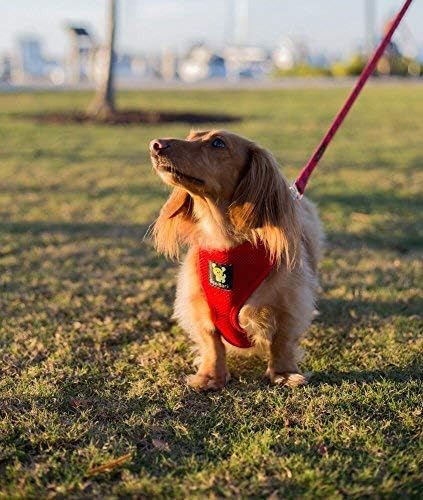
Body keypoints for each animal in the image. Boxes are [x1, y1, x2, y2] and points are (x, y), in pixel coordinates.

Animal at [150, 129, 324, 390]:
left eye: (217, 143)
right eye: (190, 136)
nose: (155, 144)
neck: (226, 242)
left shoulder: (289, 304)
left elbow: (281, 342)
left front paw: (283, 373)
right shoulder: (200, 305)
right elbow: (212, 344)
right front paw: (210, 376)